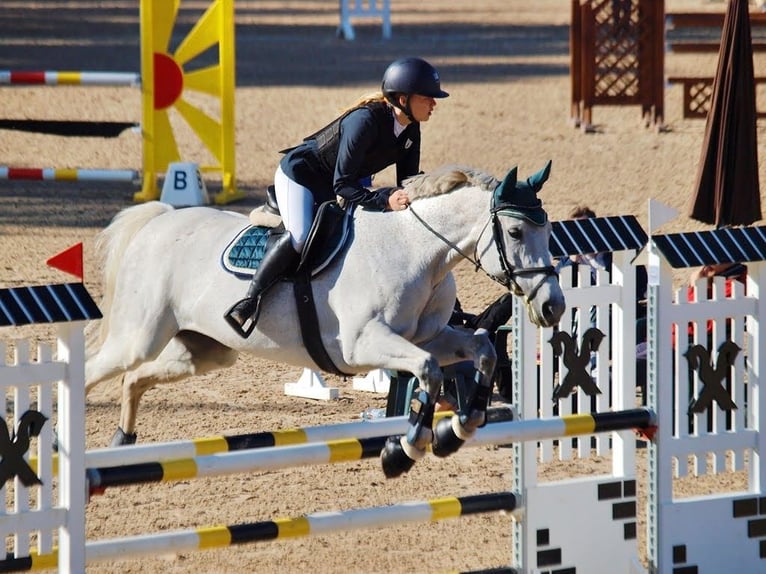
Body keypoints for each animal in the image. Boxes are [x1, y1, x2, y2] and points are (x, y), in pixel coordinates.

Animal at [84, 161, 566, 477]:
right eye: (517, 232)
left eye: (548, 230)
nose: (553, 307)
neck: (417, 252)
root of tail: (158, 222)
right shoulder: (362, 346)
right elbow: (428, 371)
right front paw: (404, 450)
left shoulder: (429, 337)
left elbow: (482, 351)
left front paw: (458, 429)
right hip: (140, 336)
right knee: (95, 371)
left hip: (204, 351)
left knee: (135, 379)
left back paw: (122, 441)